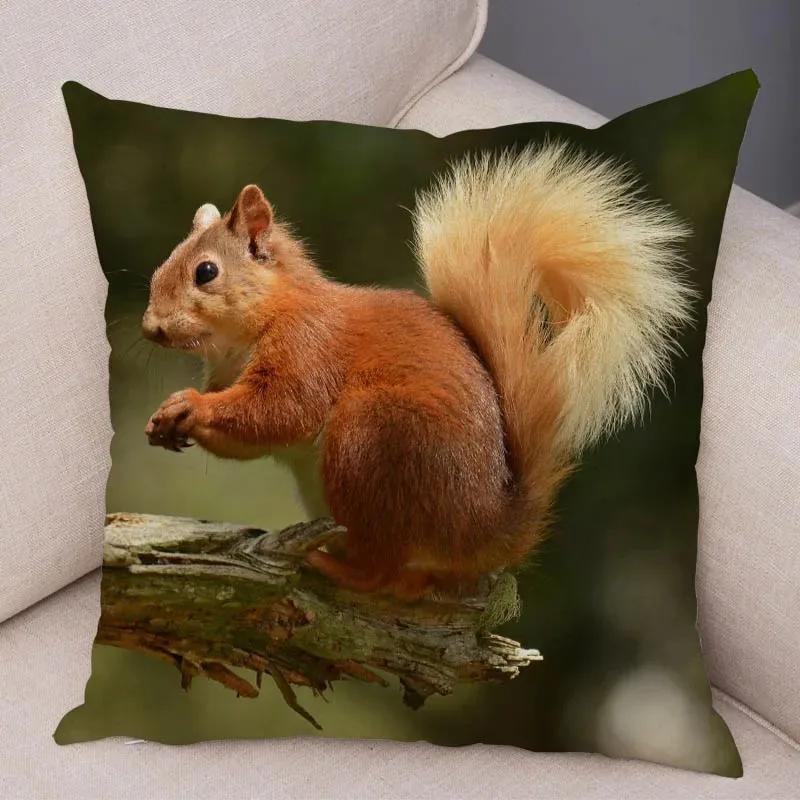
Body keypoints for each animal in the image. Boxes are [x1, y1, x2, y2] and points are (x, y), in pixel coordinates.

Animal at [142, 142, 693, 599]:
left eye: (206, 272)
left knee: (383, 573)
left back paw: (333, 565)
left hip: (372, 439)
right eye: (160, 266)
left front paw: (191, 405)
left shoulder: (308, 348)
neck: (249, 331)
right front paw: (166, 415)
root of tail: (485, 529)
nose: (151, 328)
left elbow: (280, 410)